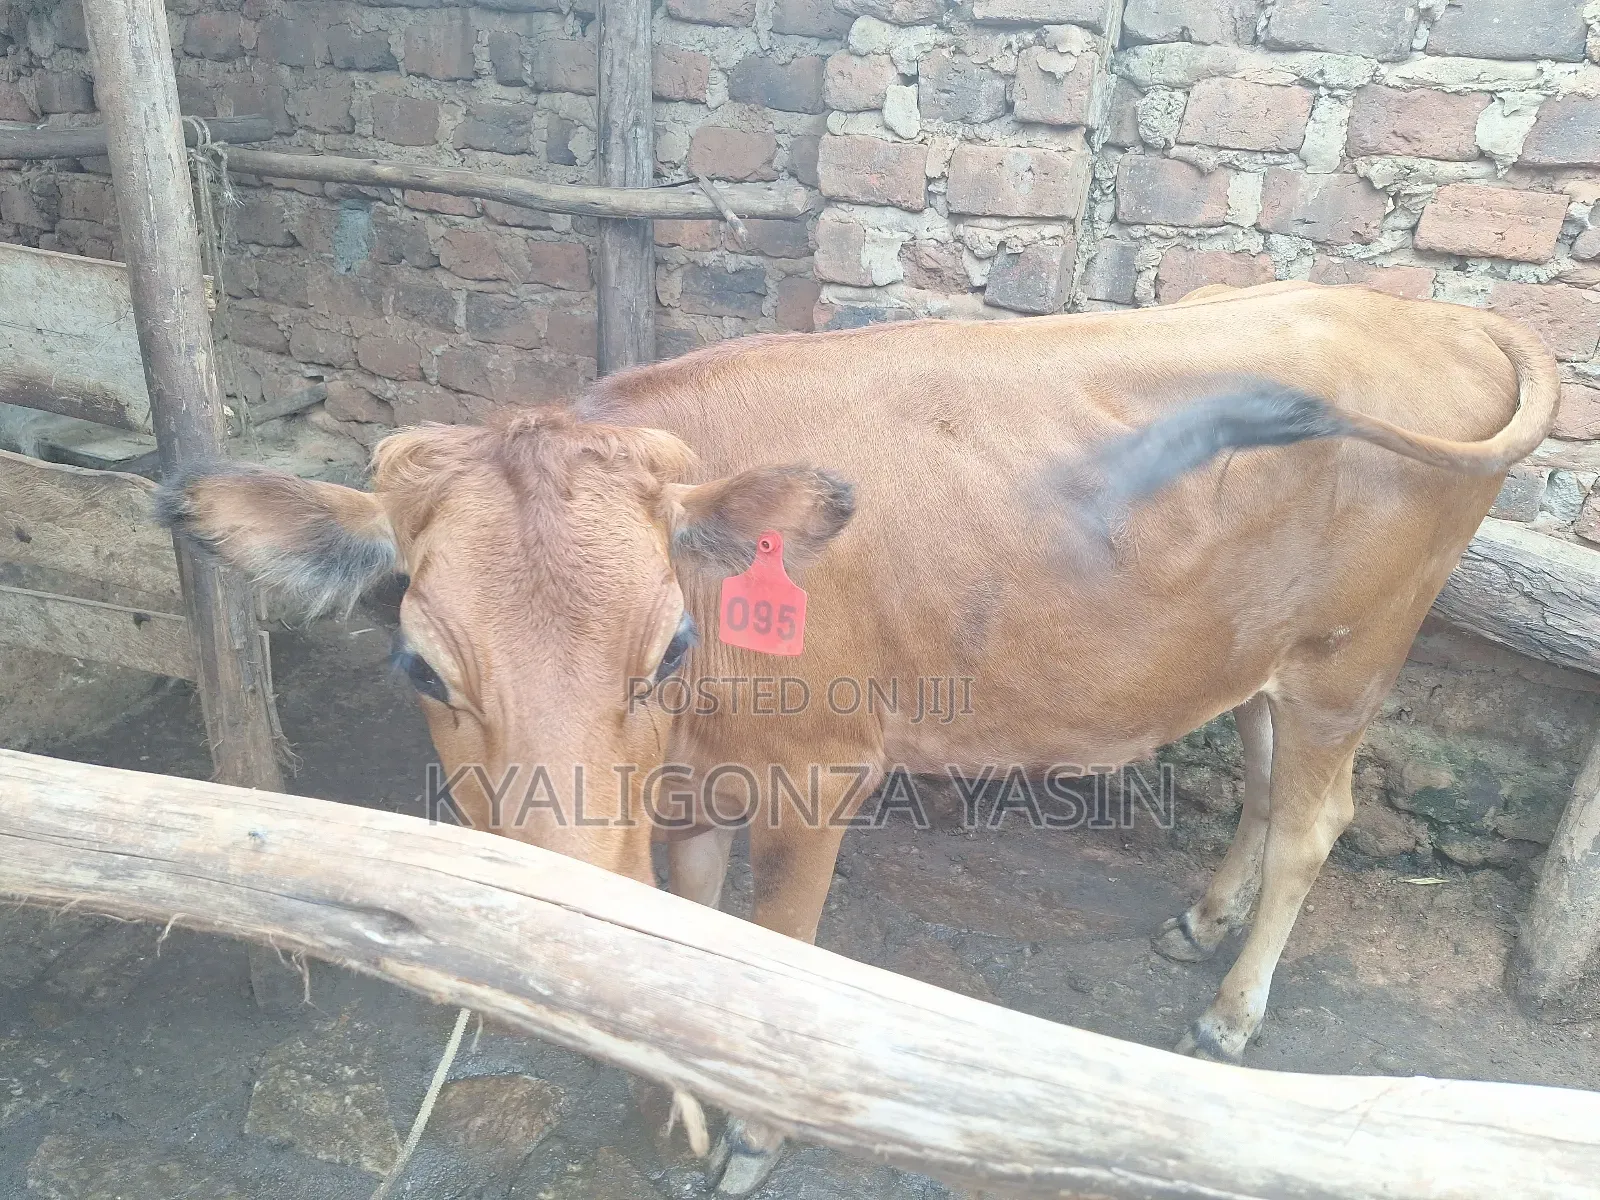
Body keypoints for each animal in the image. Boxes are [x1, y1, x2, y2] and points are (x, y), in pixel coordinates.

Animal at [158, 280, 1558, 1194]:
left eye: (671, 647)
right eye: (417, 663)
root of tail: (1426, 308)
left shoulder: (817, 776)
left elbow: (774, 949)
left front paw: (751, 1135)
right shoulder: (695, 799)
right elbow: (691, 928)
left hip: (1351, 653)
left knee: (1318, 818)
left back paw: (1229, 1013)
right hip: (1270, 652)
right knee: (1266, 780)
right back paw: (1202, 920)